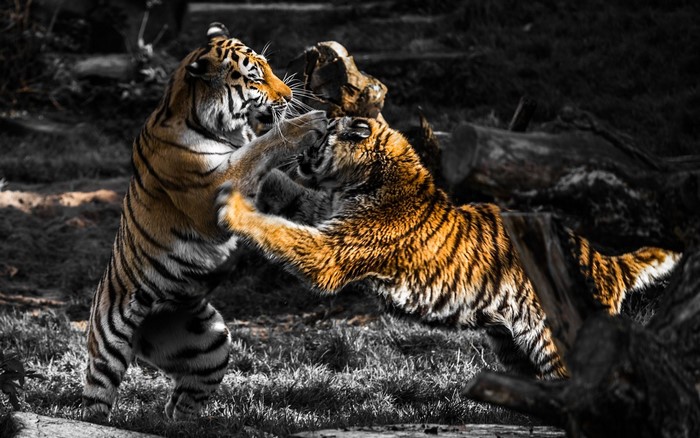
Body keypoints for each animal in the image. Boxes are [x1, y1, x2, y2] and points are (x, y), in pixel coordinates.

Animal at [82, 22, 327, 421]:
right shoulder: (212, 193)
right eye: (256, 78)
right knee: (96, 398)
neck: (226, 132)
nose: (290, 94)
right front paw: (307, 123)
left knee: (181, 403)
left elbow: (287, 187)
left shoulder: (264, 185)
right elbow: (260, 148)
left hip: (210, 343)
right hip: (108, 343)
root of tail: (144, 332)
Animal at [216, 116, 680, 379]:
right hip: (514, 345)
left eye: (323, 136)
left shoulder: (331, 251)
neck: (355, 181)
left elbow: (281, 232)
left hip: (558, 342)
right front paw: (252, 169)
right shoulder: (322, 212)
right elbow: (288, 197)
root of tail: (609, 264)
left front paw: (234, 206)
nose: (305, 145)